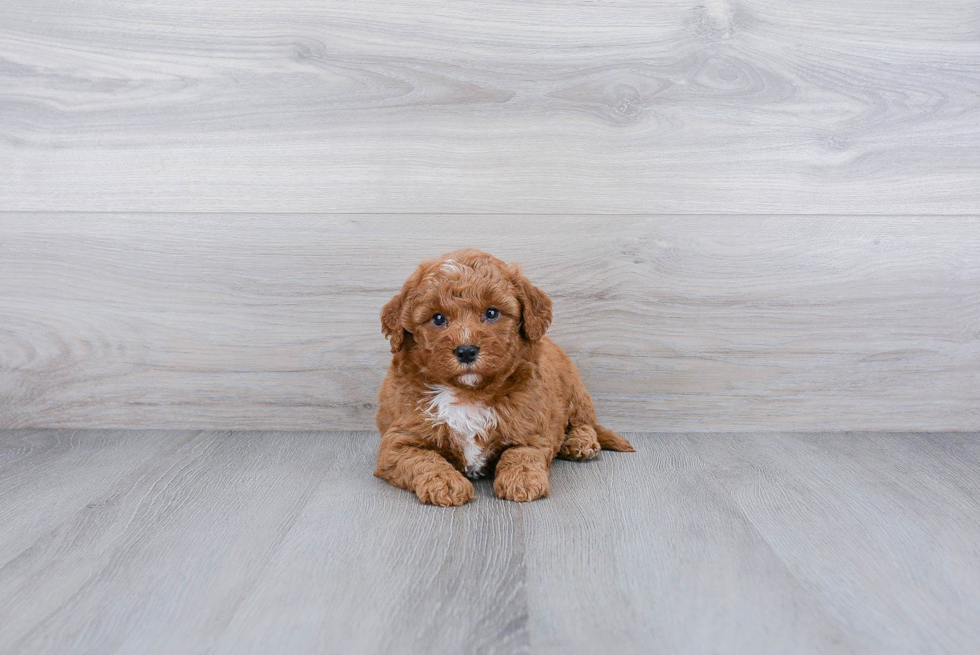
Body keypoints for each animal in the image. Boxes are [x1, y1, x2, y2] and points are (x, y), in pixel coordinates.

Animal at [376, 247, 636, 508]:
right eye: (438, 318)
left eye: (492, 313)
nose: (466, 351)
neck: (468, 393)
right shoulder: (397, 443)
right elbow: (423, 459)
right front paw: (445, 483)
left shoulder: (532, 432)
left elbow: (520, 453)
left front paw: (522, 480)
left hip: (575, 388)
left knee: (584, 422)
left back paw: (579, 442)